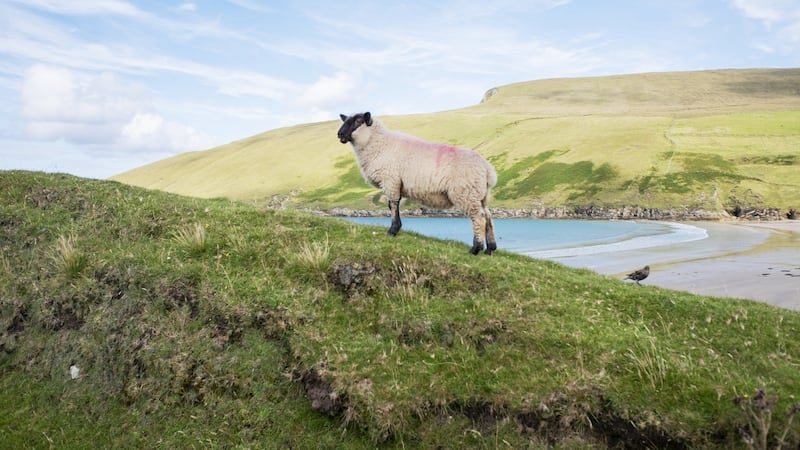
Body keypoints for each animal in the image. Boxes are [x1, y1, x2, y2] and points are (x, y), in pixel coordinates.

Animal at [337, 111, 498, 255]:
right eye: (346, 120)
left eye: (358, 121)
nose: (339, 134)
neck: (379, 143)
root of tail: (488, 169)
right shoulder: (395, 183)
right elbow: (393, 205)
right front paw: (396, 228)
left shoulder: (391, 180)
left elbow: (393, 204)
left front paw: (393, 230)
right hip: (481, 195)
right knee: (488, 216)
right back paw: (490, 249)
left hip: (466, 193)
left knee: (479, 218)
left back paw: (476, 249)